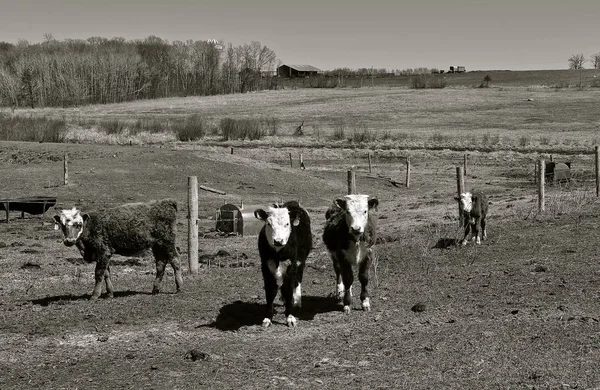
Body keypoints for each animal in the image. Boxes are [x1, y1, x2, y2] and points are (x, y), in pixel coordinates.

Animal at [52, 200, 182, 300]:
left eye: (79, 225)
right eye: (62, 225)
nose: (69, 241)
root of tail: (166, 202)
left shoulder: (104, 251)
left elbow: (99, 273)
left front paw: (94, 295)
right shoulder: (102, 255)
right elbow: (106, 273)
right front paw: (110, 293)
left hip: (168, 242)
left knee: (175, 261)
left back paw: (179, 287)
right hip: (157, 245)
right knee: (161, 264)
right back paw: (155, 289)